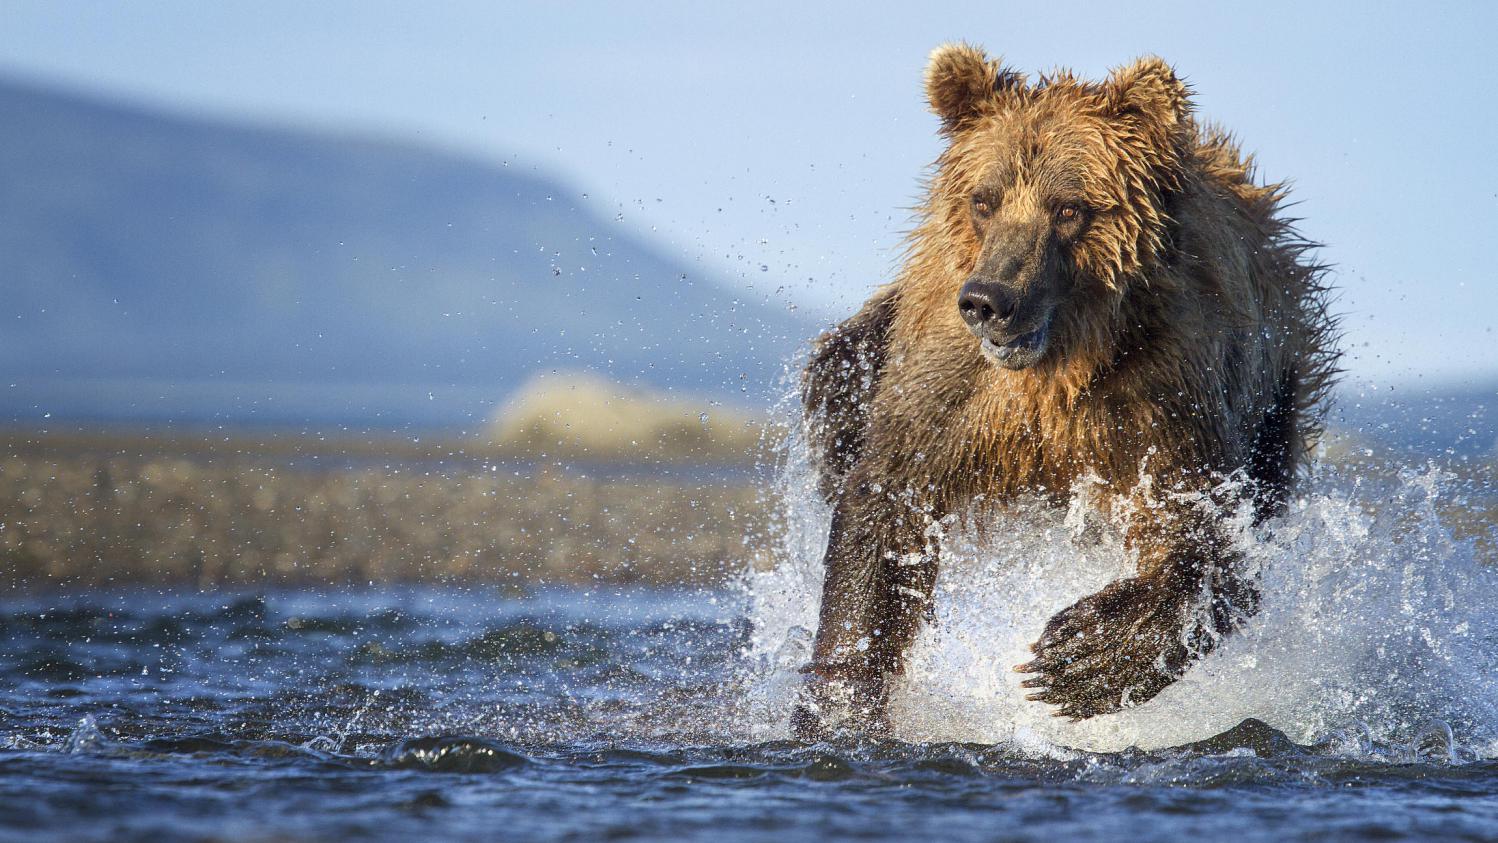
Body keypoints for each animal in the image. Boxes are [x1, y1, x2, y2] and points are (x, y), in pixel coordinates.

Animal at [790, 44, 1342, 739]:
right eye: (984, 200)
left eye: (1070, 207)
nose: (989, 301)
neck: (1057, 370)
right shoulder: (952, 390)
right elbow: (886, 511)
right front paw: (841, 709)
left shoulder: (1164, 395)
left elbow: (1207, 535)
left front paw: (1077, 658)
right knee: (838, 382)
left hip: (1273, 400)